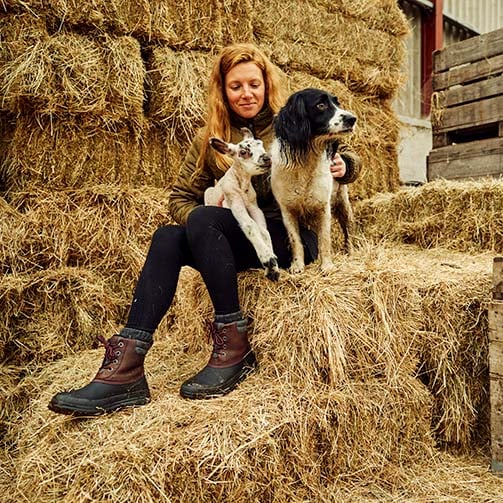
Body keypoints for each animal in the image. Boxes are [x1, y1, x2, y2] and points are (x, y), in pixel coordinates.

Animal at [206, 128, 284, 282]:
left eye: (260, 144)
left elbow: (264, 230)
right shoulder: (234, 201)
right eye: (243, 152)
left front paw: (273, 267)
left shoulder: (254, 206)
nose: (267, 158)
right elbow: (250, 225)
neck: (242, 186)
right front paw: (267, 257)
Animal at [272, 88, 358, 274]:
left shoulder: (322, 207)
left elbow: (325, 239)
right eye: (321, 105)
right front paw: (297, 266)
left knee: (348, 229)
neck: (306, 161)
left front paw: (327, 266)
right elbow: (295, 241)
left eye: (337, 103)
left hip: (343, 204)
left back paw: (352, 252)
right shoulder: (288, 211)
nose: (352, 118)